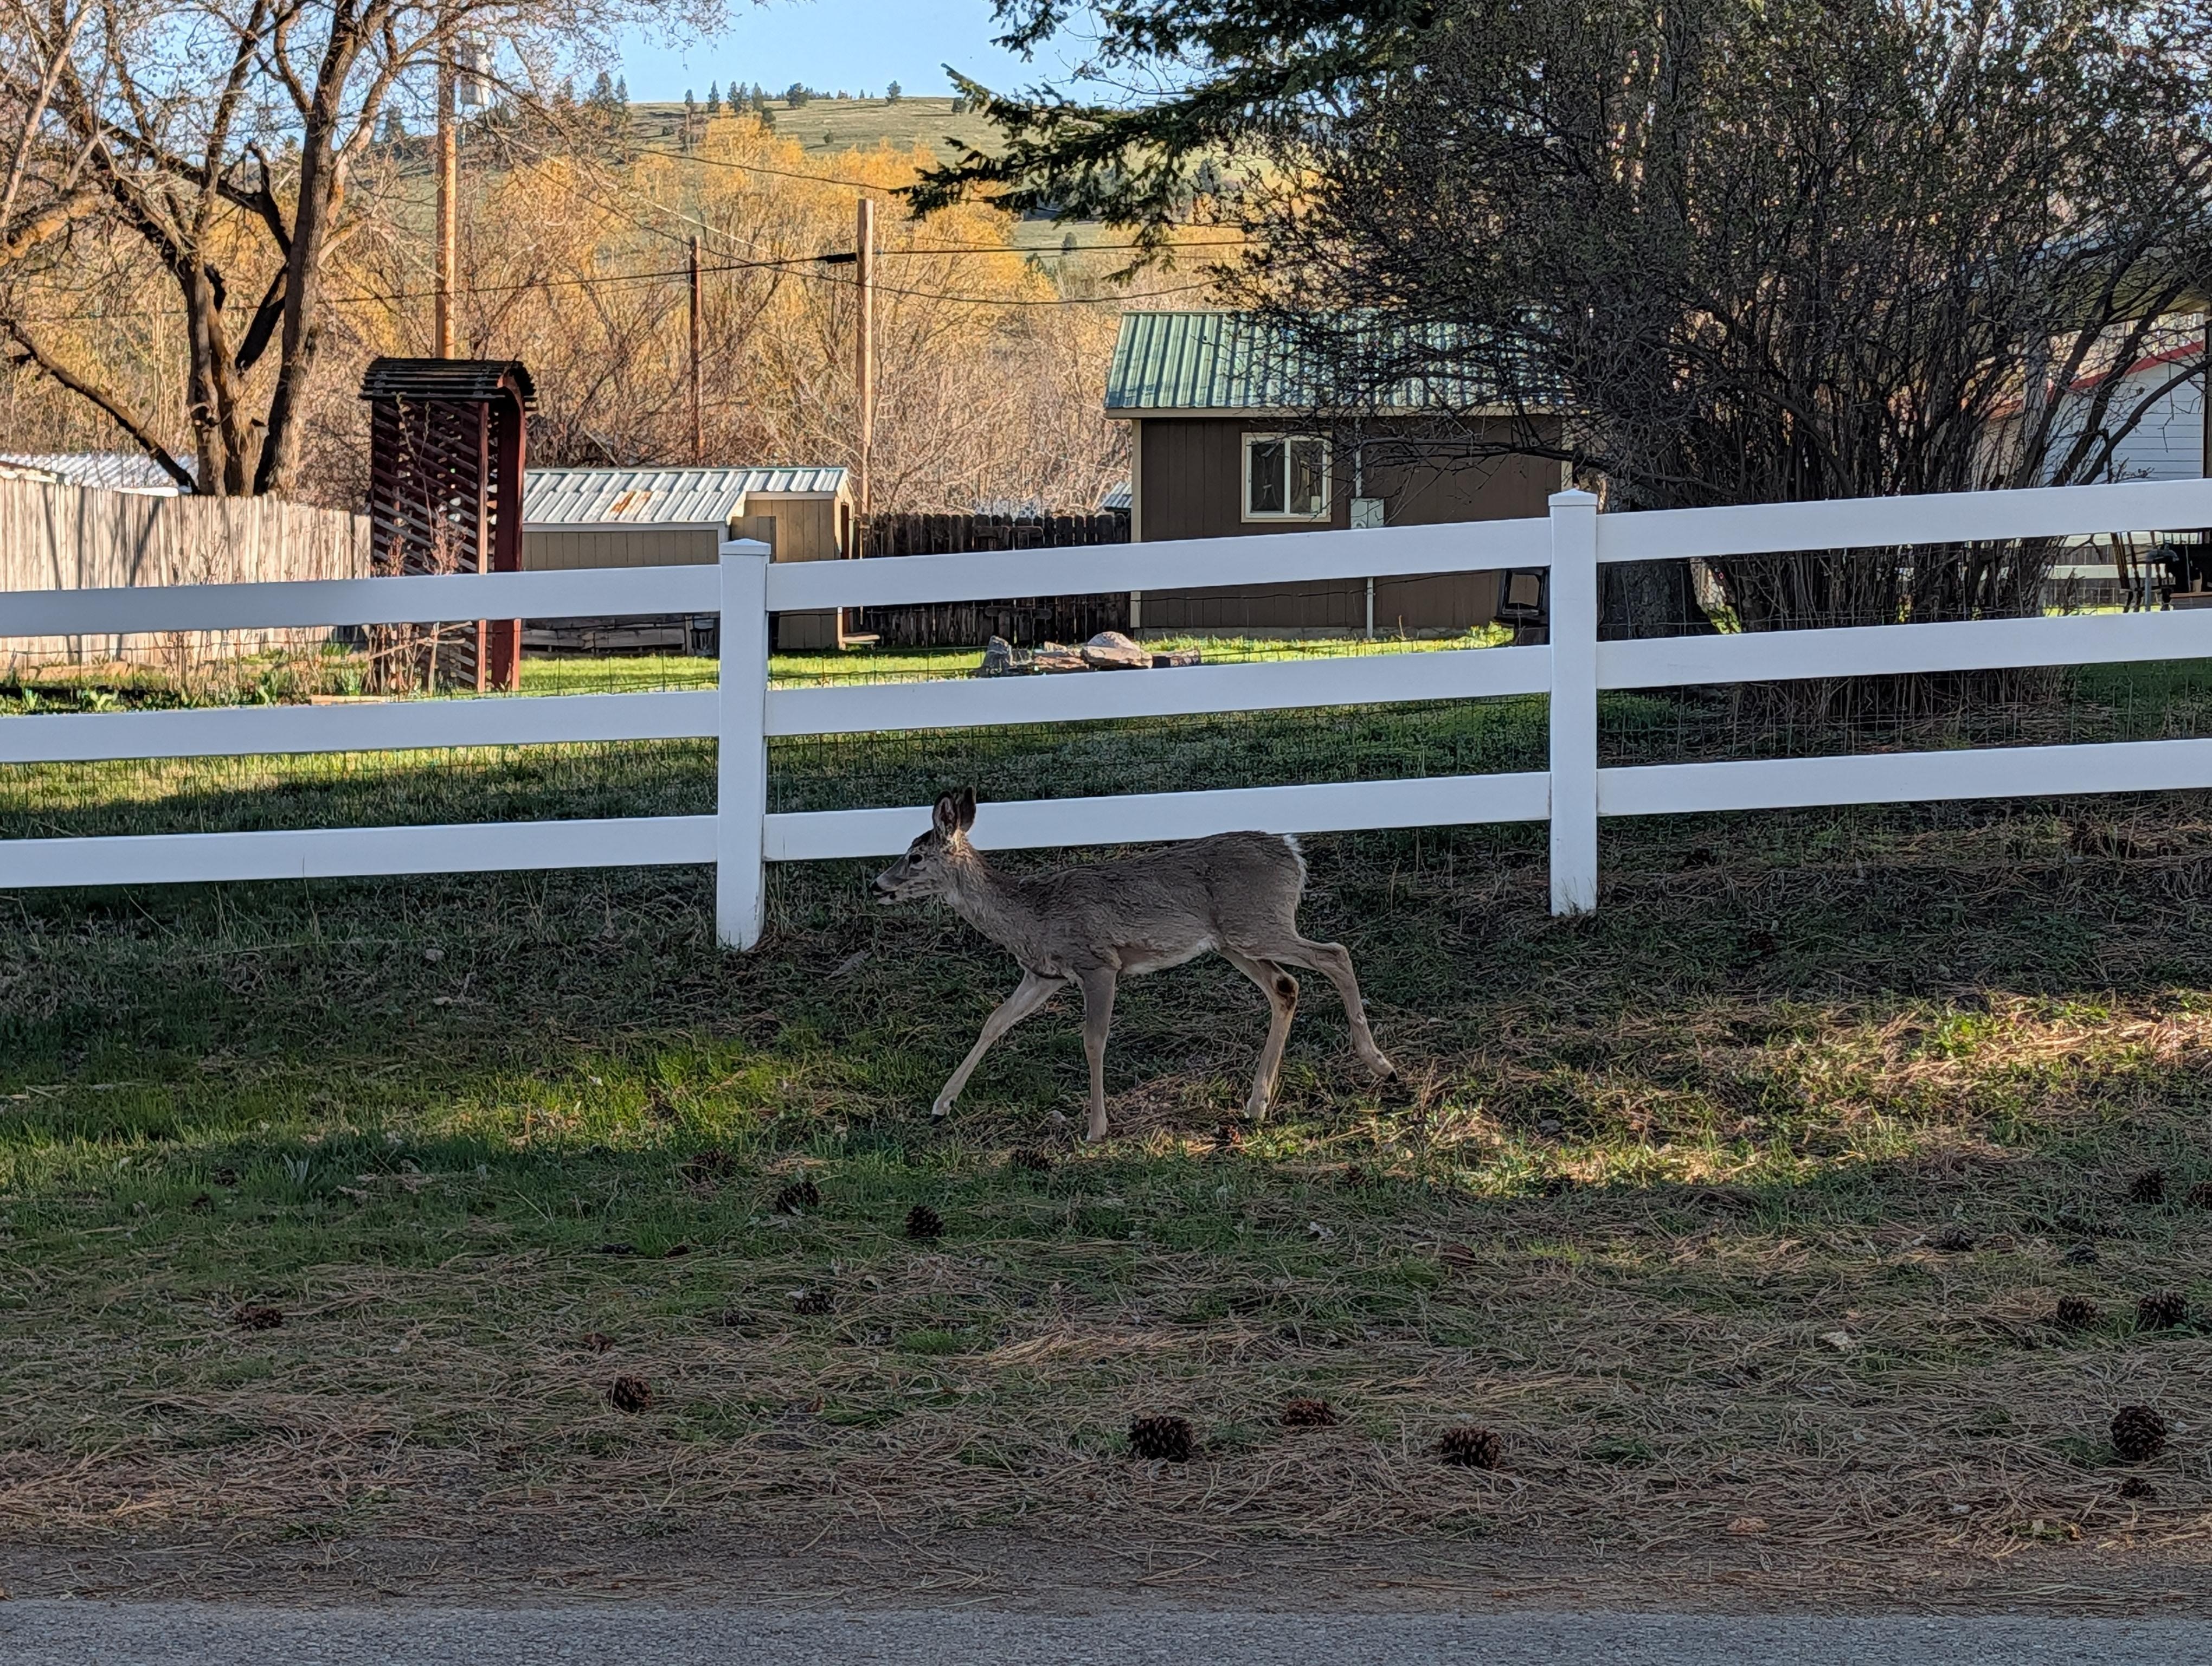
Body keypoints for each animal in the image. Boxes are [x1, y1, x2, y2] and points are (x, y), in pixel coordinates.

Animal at [871, 788, 1395, 1141]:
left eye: (915, 856)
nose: (878, 885)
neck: (1032, 915)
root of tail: (1293, 851)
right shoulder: (1044, 974)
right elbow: (995, 1021)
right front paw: (942, 1103)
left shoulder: (1098, 963)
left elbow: (1093, 1040)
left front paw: (1096, 1127)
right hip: (1233, 941)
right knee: (1286, 986)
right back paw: (1257, 1103)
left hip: (1257, 923)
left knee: (1334, 954)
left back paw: (1379, 1064)